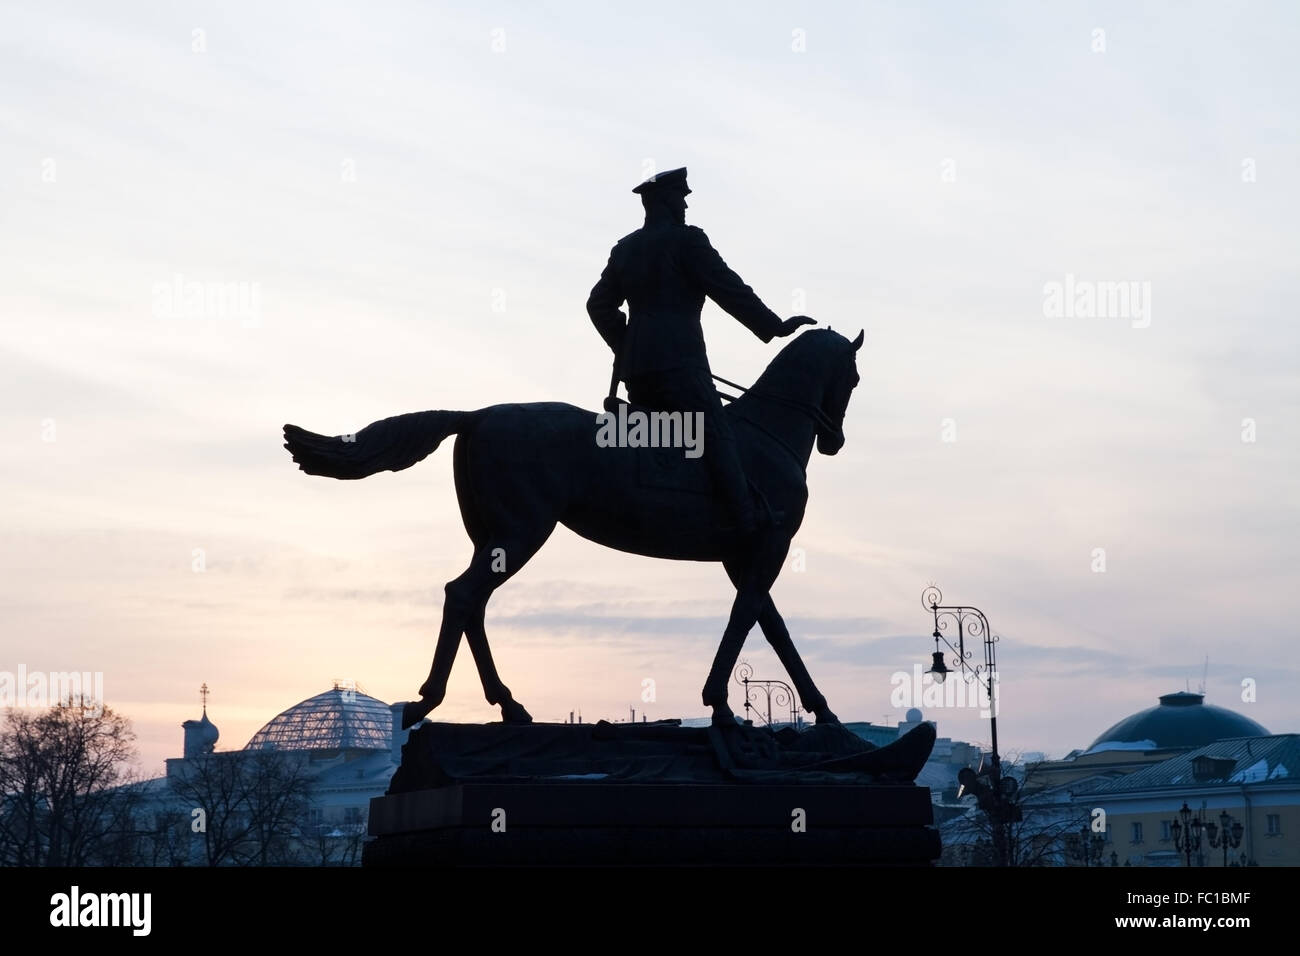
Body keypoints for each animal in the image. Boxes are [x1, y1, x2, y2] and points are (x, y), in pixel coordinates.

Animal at [284, 327, 863, 723]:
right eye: (854, 377)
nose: (835, 440)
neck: (765, 433)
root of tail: (477, 415)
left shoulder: (742, 555)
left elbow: (770, 622)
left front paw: (821, 709)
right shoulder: (768, 546)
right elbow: (750, 617)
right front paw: (721, 703)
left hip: (494, 536)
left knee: (471, 601)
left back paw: (505, 704)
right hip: (522, 532)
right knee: (464, 594)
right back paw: (434, 701)